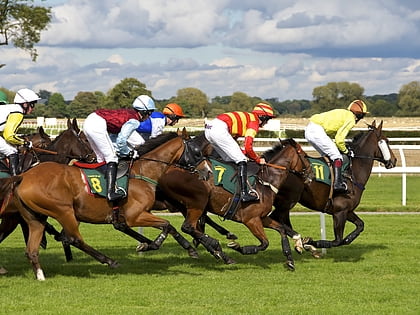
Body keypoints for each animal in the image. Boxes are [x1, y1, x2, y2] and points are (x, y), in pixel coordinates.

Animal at [10, 132, 200, 280]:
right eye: (197, 152)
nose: (203, 172)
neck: (142, 171)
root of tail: (23, 176)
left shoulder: (132, 217)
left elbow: (170, 227)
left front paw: (189, 249)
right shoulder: (135, 216)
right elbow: (167, 225)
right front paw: (150, 245)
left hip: (36, 218)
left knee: (32, 249)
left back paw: (40, 275)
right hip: (64, 211)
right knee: (73, 239)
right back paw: (109, 261)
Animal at [155, 138, 312, 272]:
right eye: (305, 156)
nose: (311, 175)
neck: (265, 183)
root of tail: (168, 170)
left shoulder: (262, 218)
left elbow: (282, 230)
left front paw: (290, 259)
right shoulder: (251, 220)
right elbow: (264, 243)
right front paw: (238, 247)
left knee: (193, 227)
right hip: (198, 201)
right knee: (188, 227)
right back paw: (216, 247)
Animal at [270, 121, 398, 254]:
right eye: (387, 141)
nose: (394, 160)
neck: (352, 172)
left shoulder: (347, 210)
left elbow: (360, 225)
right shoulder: (339, 211)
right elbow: (338, 241)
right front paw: (311, 242)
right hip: (288, 201)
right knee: (274, 218)